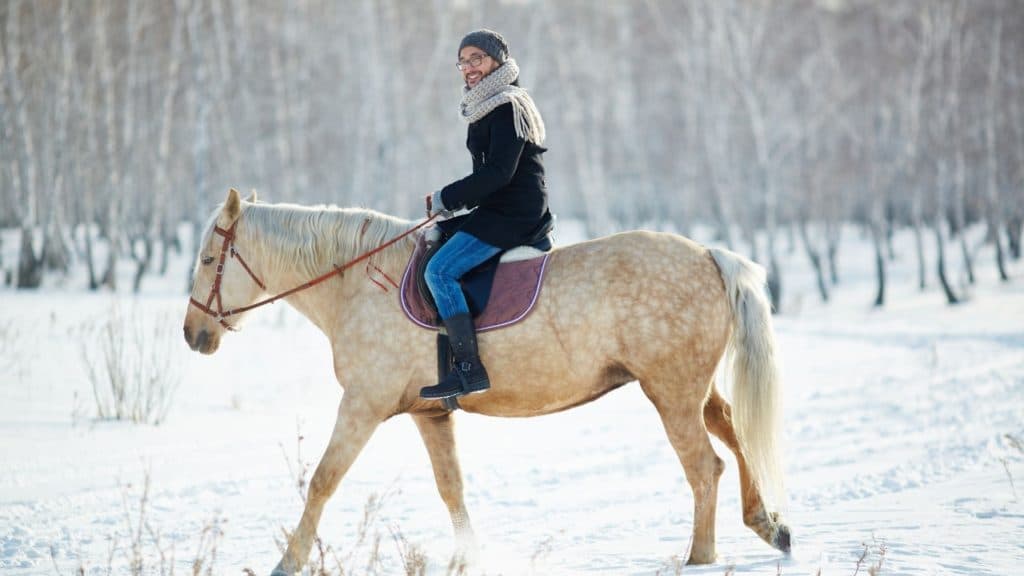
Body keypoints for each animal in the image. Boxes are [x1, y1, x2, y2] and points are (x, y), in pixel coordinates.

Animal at [184, 187, 790, 569]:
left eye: (211, 258)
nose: (193, 334)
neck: (360, 283)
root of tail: (708, 254)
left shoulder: (362, 406)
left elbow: (322, 480)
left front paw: (288, 560)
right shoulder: (429, 413)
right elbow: (451, 487)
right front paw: (469, 558)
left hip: (672, 394)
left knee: (705, 467)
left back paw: (701, 557)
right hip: (689, 390)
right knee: (734, 434)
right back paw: (769, 524)